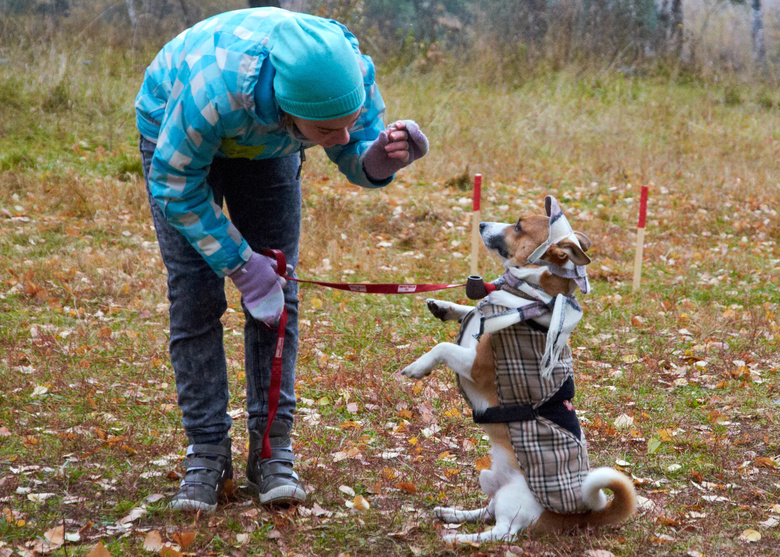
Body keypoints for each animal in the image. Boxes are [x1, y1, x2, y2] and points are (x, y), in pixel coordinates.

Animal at [406, 197, 636, 544]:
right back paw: (452, 515)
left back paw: (456, 538)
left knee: (502, 533)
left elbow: (443, 347)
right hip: (492, 482)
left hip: (515, 498)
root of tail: (582, 516)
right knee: (485, 513)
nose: (481, 223)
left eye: (518, 225)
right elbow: (470, 310)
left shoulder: (476, 366)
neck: (528, 295)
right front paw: (444, 307)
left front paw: (417, 367)